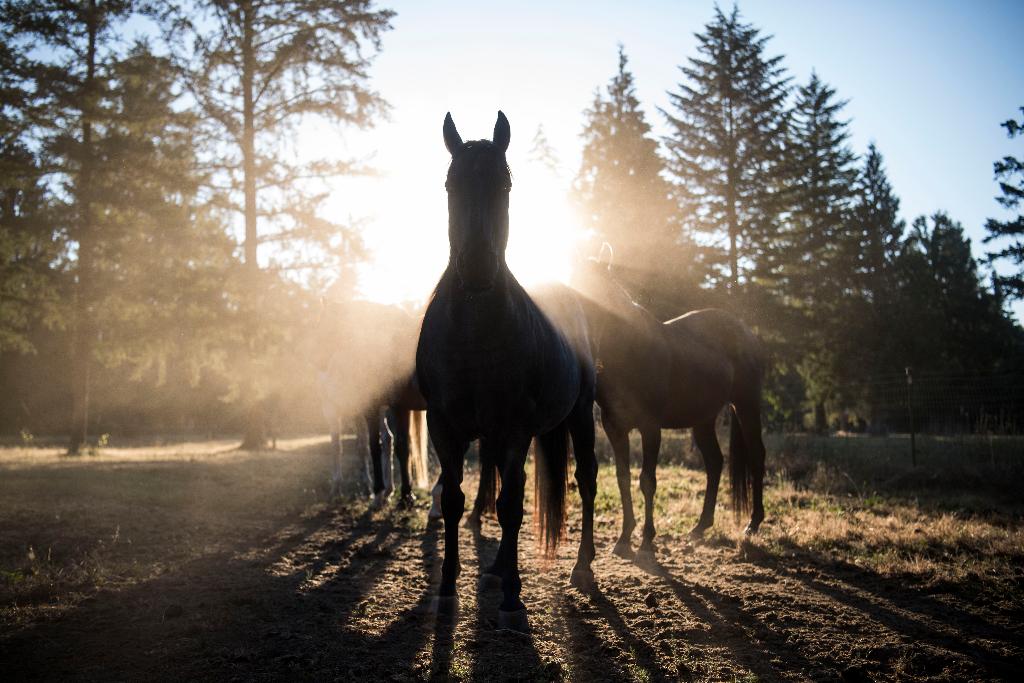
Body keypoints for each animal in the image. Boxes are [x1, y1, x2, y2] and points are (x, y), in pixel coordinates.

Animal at [313, 299, 430, 506]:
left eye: (322, 325)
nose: (314, 359)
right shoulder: (388, 407)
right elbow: (390, 446)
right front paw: (400, 494)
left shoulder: (358, 409)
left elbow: (369, 446)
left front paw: (375, 490)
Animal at [416, 111, 598, 631]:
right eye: (450, 183)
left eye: (506, 183)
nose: (477, 267)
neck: (474, 334)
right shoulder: (445, 426)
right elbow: (455, 500)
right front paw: (448, 587)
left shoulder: (515, 428)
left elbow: (512, 505)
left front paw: (514, 598)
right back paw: (497, 567)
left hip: (580, 414)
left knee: (587, 481)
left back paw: (581, 566)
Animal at [571, 258, 768, 564]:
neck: (628, 352)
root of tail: (745, 332)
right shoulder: (614, 427)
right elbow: (623, 478)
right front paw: (624, 538)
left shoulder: (650, 426)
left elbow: (647, 480)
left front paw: (646, 542)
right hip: (703, 419)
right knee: (715, 462)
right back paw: (700, 527)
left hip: (746, 405)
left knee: (757, 455)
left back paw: (752, 524)